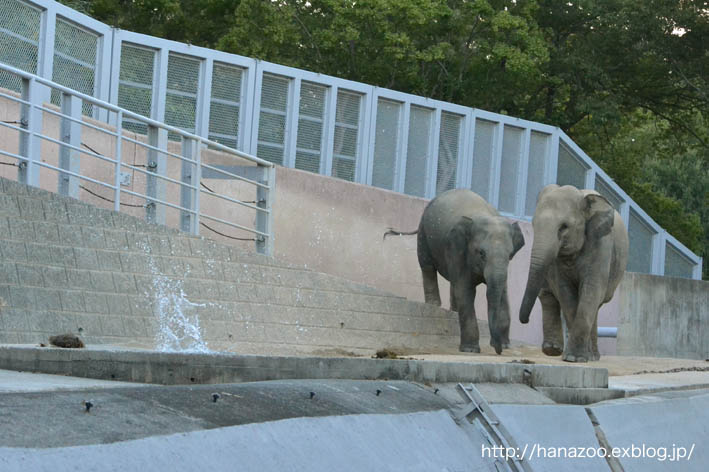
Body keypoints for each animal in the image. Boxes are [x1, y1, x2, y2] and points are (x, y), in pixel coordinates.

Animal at [384, 188, 524, 354]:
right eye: (481, 253)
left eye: (510, 254)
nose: (497, 349)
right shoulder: (456, 248)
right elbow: (465, 290)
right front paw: (470, 350)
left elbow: (502, 293)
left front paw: (506, 346)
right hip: (424, 230)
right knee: (427, 266)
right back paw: (434, 305)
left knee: (452, 281)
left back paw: (454, 310)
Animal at [516, 183, 628, 362]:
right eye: (533, 224)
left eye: (564, 227)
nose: (524, 321)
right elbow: (565, 293)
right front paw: (573, 357)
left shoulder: (601, 244)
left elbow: (591, 290)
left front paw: (575, 358)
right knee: (547, 295)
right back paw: (553, 350)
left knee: (597, 303)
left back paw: (593, 356)